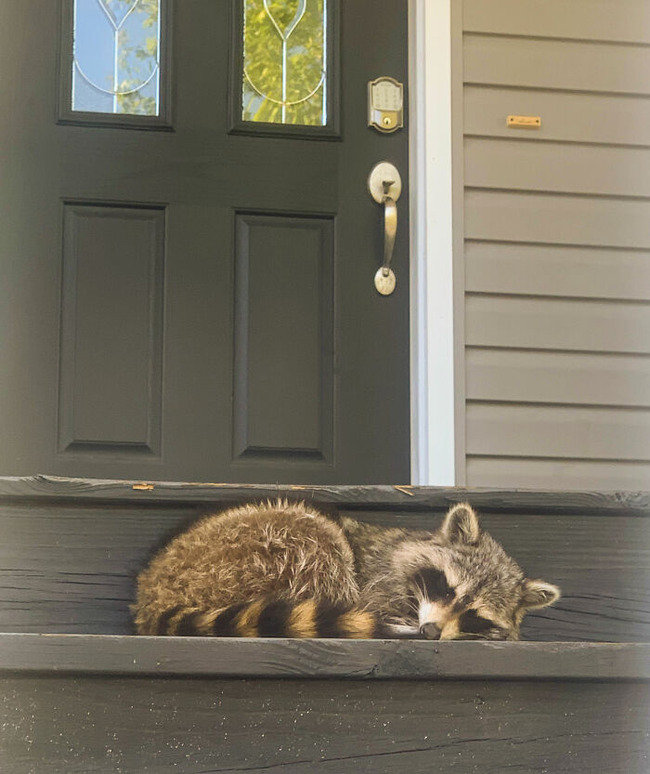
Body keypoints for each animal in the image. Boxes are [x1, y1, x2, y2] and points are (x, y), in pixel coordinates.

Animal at [132, 500, 560, 640]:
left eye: (474, 614)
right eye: (447, 588)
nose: (431, 631)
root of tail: (152, 589)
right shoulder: (378, 579)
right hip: (247, 547)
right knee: (320, 537)